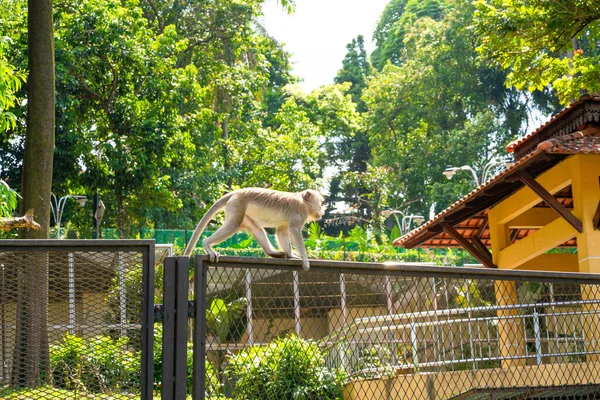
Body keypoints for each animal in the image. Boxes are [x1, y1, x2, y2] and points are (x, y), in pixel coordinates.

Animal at [183, 188, 326, 268]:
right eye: (320, 203)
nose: (322, 210)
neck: (303, 201)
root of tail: (236, 192)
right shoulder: (300, 212)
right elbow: (294, 231)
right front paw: (305, 259)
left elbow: (282, 231)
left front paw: (290, 255)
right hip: (237, 205)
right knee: (233, 225)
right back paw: (207, 244)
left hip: (242, 212)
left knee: (256, 229)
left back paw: (271, 252)